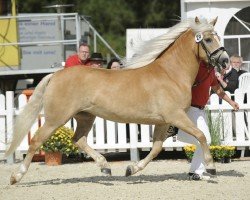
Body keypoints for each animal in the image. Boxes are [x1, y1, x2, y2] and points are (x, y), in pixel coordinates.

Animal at [4, 16, 229, 184]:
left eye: (217, 36)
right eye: (208, 40)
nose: (225, 61)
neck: (170, 74)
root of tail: (56, 75)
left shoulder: (163, 122)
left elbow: (156, 148)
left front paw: (131, 169)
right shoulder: (176, 116)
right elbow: (201, 135)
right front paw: (211, 167)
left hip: (85, 117)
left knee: (78, 139)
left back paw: (105, 168)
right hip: (56, 118)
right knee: (36, 141)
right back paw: (16, 177)